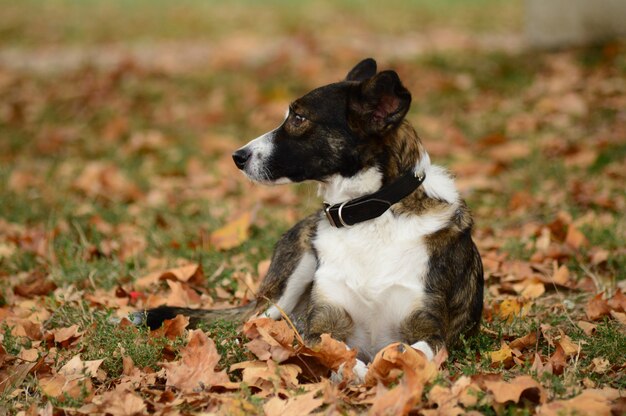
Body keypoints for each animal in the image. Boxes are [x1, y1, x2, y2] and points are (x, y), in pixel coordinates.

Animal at [147, 58, 482, 380]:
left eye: (298, 118)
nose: (238, 156)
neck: (372, 215)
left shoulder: (429, 331)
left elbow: (409, 352)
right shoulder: (322, 324)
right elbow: (335, 351)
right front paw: (353, 372)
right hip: (289, 280)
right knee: (253, 323)